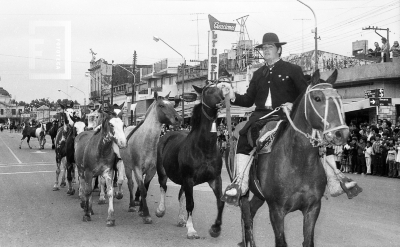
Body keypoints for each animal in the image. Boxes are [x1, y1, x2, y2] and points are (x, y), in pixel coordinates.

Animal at [156, 83, 225, 239]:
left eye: (220, 88)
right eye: (209, 91)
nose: (223, 100)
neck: (204, 148)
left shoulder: (215, 178)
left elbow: (220, 202)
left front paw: (216, 228)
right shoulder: (189, 179)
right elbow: (190, 204)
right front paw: (191, 230)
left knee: (180, 195)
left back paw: (181, 219)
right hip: (162, 171)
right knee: (163, 187)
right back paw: (161, 210)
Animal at [238, 70, 350, 247]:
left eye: (339, 98)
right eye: (317, 98)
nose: (342, 134)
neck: (298, 162)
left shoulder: (313, 208)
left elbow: (308, 241)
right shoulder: (276, 210)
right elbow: (281, 242)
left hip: (258, 194)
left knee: (250, 210)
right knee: (246, 214)